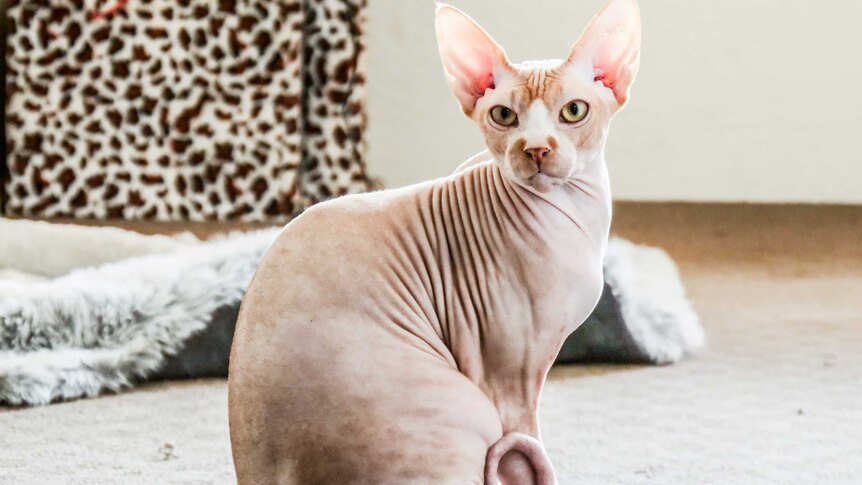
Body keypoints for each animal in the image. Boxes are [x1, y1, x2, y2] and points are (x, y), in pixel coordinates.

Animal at [230, 0, 640, 480]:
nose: (536, 149)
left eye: (574, 111)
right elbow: (527, 452)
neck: (576, 212)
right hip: (468, 403)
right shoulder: (507, 378)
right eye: (504, 116)